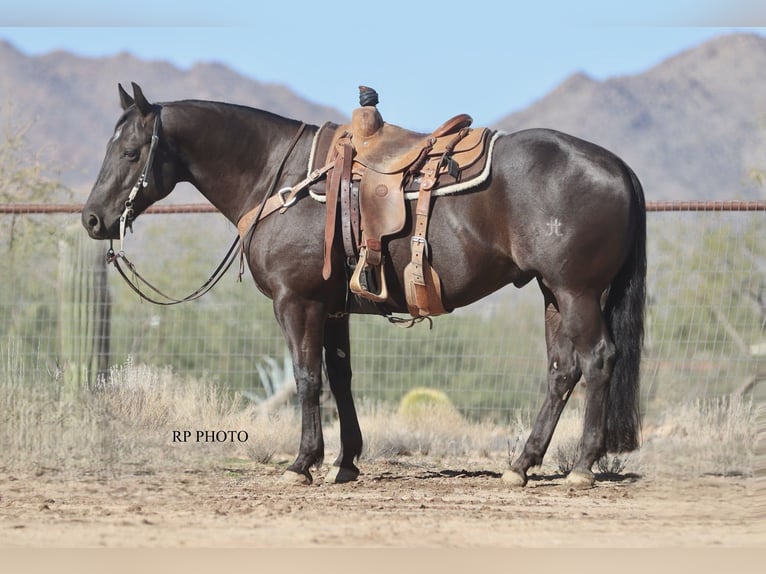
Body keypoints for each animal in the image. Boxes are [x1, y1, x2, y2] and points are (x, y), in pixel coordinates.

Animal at [82, 83, 646, 488]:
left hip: (575, 292)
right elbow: (340, 379)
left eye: (131, 152)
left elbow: (307, 378)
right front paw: (346, 462)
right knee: (562, 371)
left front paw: (302, 464)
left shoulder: (297, 303)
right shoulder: (333, 308)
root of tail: (617, 165)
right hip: (553, 294)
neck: (280, 178)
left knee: (597, 360)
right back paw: (521, 465)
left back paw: (582, 467)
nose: (92, 219)